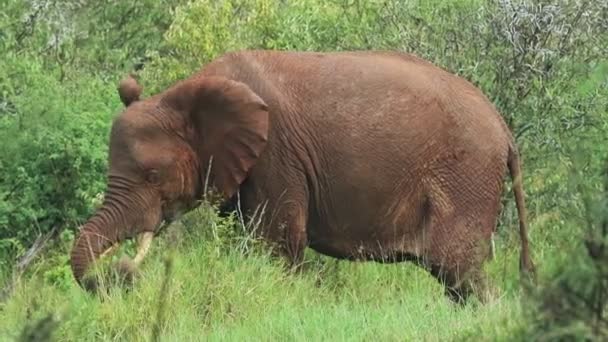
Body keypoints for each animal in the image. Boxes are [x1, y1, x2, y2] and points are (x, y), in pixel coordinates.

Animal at [71, 48, 536, 302]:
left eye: (152, 176)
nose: (121, 272)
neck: (186, 91)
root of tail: (504, 129)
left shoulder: (276, 155)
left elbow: (277, 247)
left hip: (467, 175)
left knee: (460, 273)